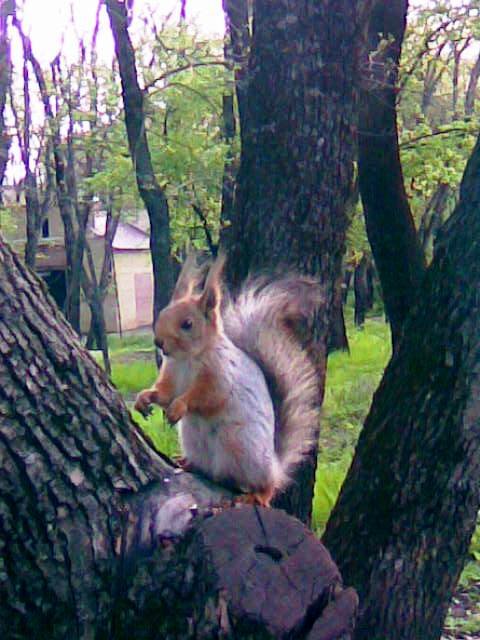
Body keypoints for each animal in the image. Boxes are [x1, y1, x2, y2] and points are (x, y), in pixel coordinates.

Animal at [134, 253, 321, 506]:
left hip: (240, 446)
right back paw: (188, 463)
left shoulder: (221, 374)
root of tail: (275, 466)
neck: (187, 359)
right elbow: (164, 393)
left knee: (266, 485)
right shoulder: (171, 374)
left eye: (187, 324)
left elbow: (208, 396)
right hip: (194, 442)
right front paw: (144, 398)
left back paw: (258, 494)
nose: (159, 342)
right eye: (162, 314)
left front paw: (179, 406)